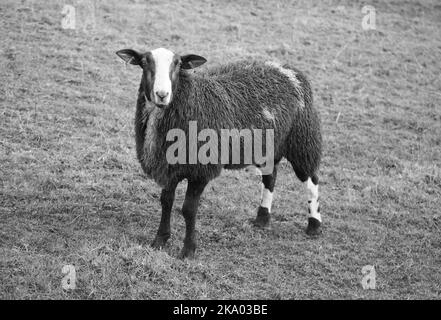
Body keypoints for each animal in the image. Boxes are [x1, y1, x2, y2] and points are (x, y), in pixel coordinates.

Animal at [115, 47, 322, 258]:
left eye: (178, 64)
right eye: (144, 62)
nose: (162, 94)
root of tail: (288, 69)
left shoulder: (201, 171)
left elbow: (189, 209)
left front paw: (188, 250)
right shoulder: (169, 167)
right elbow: (166, 201)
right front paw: (160, 240)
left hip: (302, 139)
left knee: (311, 179)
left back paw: (314, 225)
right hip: (268, 145)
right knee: (270, 177)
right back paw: (262, 219)